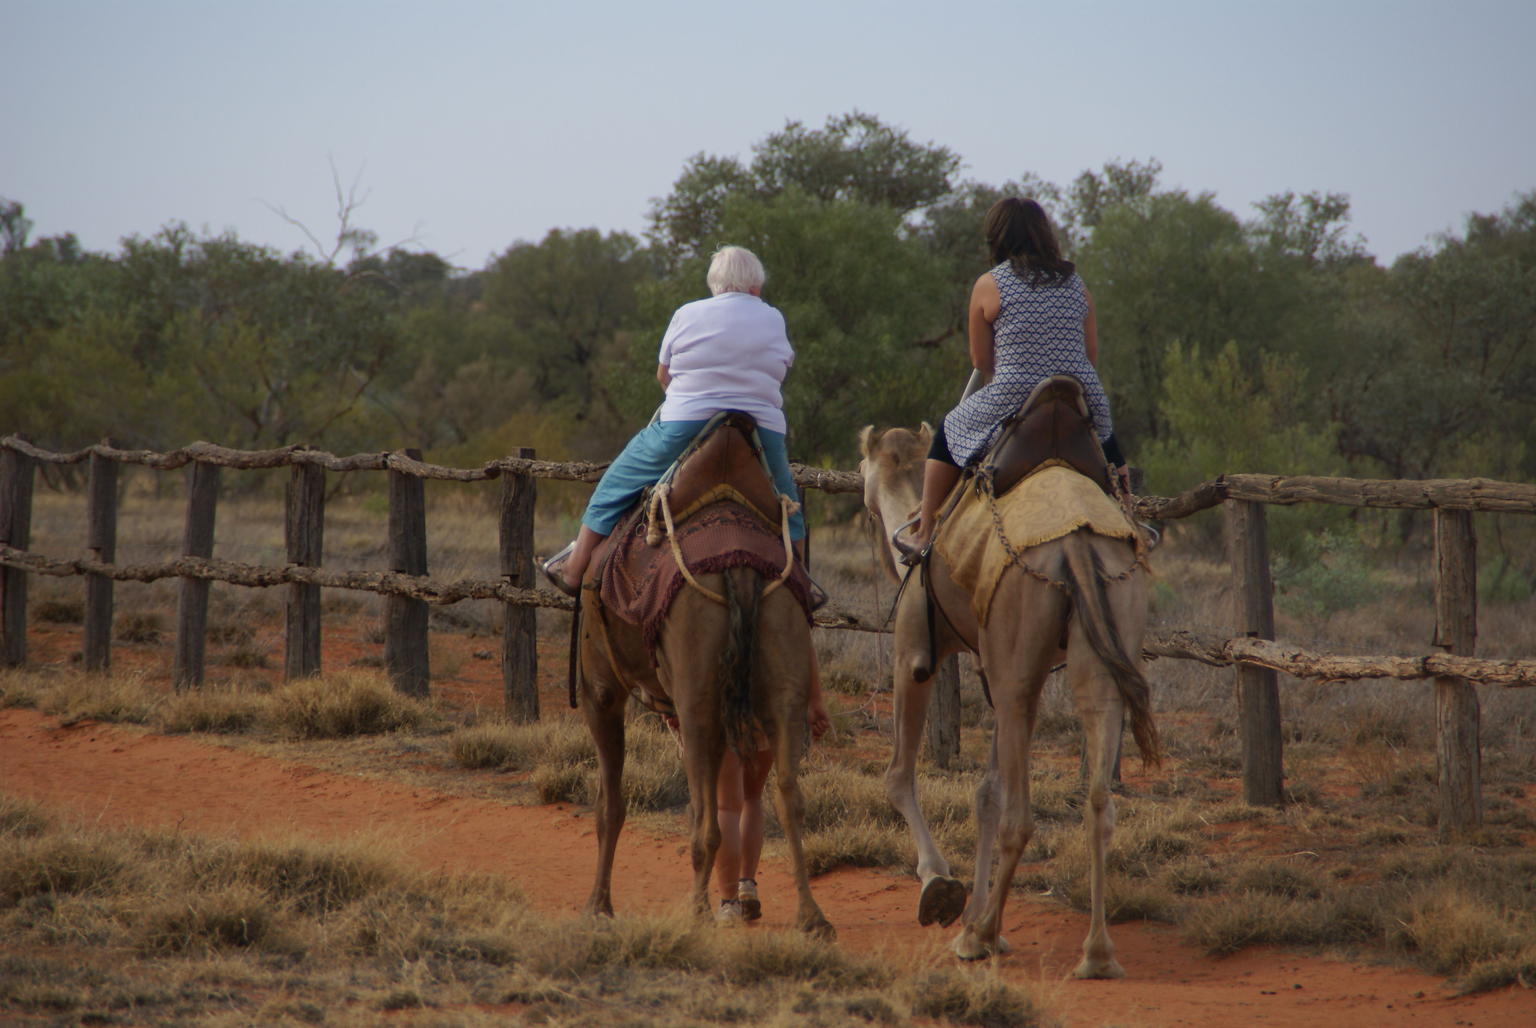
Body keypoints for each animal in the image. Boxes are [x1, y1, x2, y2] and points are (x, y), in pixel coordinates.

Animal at [860, 421, 1155, 977]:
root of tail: (1076, 543)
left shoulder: (915, 650)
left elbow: (898, 776)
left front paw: (941, 888)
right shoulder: (991, 666)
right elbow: (986, 794)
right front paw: (974, 911)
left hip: (1018, 655)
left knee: (1021, 816)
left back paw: (981, 937)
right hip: (1100, 637)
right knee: (1098, 801)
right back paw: (1095, 953)